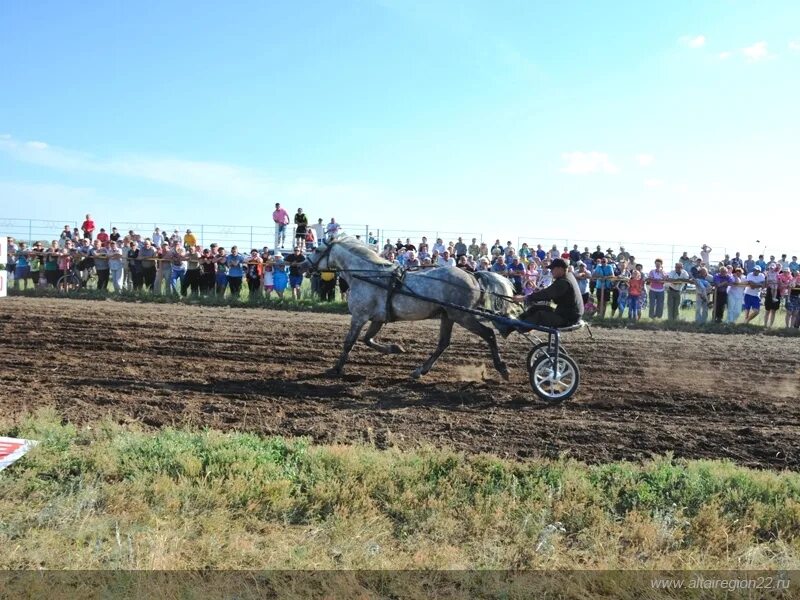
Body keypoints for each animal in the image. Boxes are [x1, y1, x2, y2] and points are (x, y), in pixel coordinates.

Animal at [304, 236, 520, 380]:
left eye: (317, 250)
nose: (302, 266)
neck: (368, 275)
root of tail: (473, 275)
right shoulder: (378, 318)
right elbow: (367, 339)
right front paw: (396, 348)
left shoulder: (359, 316)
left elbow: (349, 342)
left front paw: (335, 368)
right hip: (448, 315)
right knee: (443, 343)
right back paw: (419, 370)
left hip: (462, 316)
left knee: (489, 334)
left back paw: (502, 368)